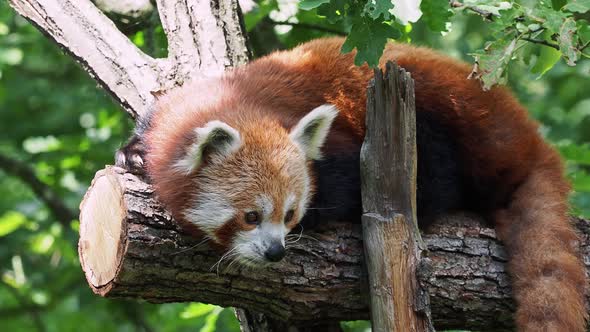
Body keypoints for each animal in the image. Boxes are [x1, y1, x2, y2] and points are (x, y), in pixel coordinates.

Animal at [118, 37, 588, 330]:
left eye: (290, 214)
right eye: (250, 216)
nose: (275, 252)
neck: (235, 100)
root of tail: (527, 137)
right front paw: (132, 156)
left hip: (447, 111)